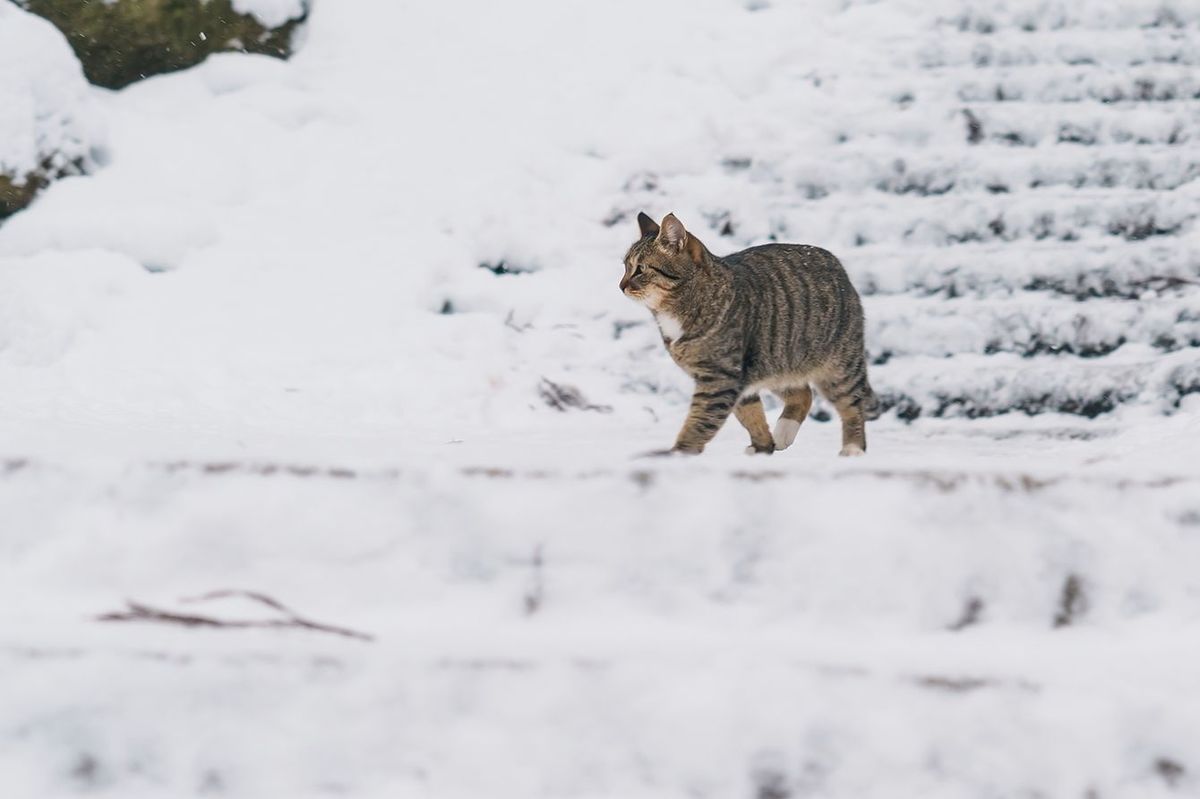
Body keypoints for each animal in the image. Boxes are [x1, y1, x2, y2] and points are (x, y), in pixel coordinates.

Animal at [624, 209, 878, 453]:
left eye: (640, 269)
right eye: (625, 267)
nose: (621, 285)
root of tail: (835, 263)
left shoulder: (720, 378)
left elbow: (700, 422)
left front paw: (678, 454)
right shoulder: (735, 381)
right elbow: (751, 415)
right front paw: (763, 447)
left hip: (840, 367)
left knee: (852, 406)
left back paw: (853, 447)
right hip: (777, 359)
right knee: (804, 394)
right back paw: (782, 435)